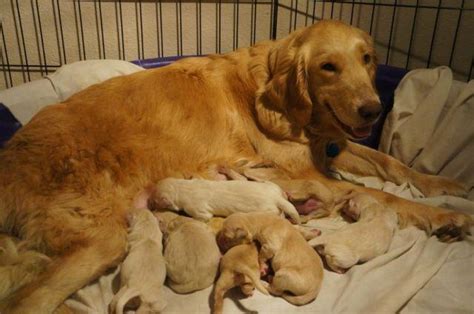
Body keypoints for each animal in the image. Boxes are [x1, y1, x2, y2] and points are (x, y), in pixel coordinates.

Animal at [148, 179, 300, 223]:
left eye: (155, 201)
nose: (149, 203)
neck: (182, 187)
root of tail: (275, 198)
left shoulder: (196, 209)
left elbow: (201, 217)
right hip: (272, 186)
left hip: (268, 210)